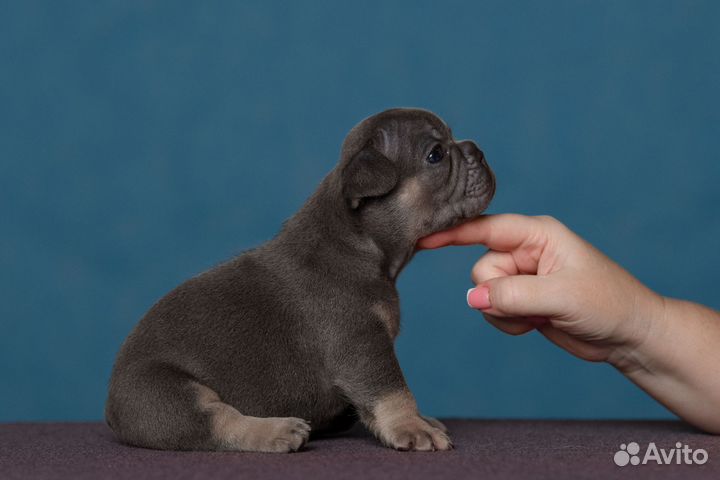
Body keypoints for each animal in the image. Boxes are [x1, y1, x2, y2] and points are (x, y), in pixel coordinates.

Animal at [105, 107, 496, 452]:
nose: (477, 148)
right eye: (436, 155)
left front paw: (421, 420)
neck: (359, 240)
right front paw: (412, 426)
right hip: (166, 394)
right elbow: (393, 390)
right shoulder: (363, 343)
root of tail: (112, 412)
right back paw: (277, 431)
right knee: (217, 422)